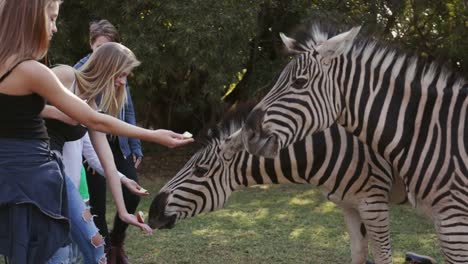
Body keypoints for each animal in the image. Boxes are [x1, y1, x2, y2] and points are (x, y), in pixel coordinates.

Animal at [149, 103, 410, 264]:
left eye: (201, 170)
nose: (152, 213)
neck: (333, 150)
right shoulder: (349, 204)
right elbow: (358, 254)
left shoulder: (373, 204)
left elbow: (383, 257)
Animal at [239, 21, 466, 262]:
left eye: (299, 82)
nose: (248, 133)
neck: (431, 132)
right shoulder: (350, 204)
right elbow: (358, 253)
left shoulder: (447, 220)